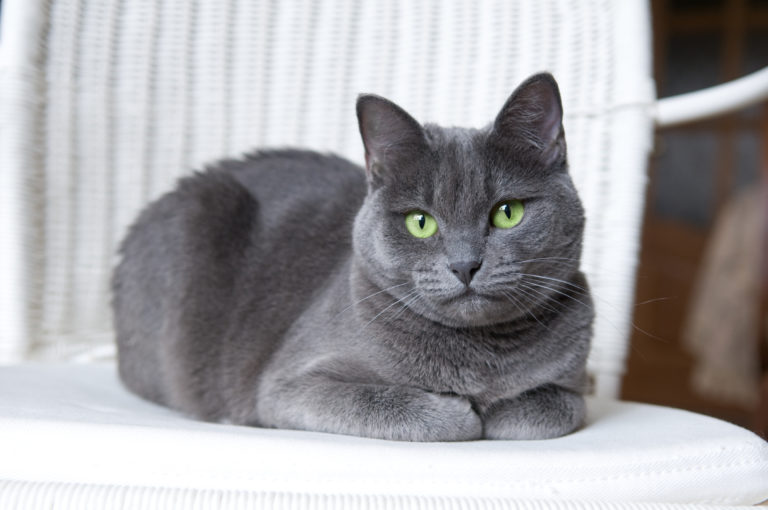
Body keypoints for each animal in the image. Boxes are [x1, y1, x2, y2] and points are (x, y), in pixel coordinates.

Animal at [114, 72, 592, 442]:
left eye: (507, 212)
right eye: (421, 222)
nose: (464, 264)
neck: (479, 357)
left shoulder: (572, 374)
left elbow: (559, 405)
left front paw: (502, 409)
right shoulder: (290, 386)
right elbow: (396, 404)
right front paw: (462, 412)